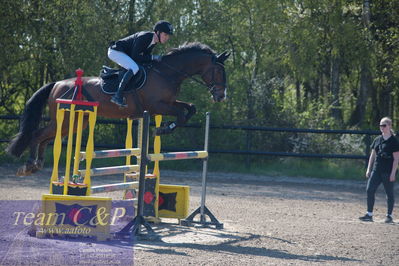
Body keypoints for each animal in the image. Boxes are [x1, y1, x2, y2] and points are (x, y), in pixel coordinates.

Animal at [6, 42, 230, 176]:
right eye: (219, 71)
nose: (221, 96)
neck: (167, 72)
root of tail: (57, 84)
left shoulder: (168, 103)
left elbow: (190, 109)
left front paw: (165, 127)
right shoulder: (157, 105)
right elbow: (181, 115)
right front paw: (163, 129)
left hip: (75, 121)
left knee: (46, 138)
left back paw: (37, 164)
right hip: (68, 118)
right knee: (37, 134)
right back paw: (29, 165)